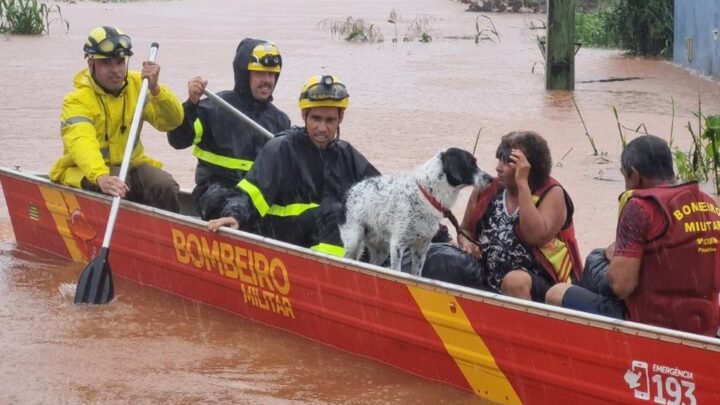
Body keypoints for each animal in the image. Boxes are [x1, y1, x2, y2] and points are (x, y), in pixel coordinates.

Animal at [340, 147, 492, 276]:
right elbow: (398, 271)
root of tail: (349, 191)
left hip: (381, 249)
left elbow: (416, 274)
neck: (427, 194)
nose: (491, 178)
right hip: (354, 240)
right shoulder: (397, 245)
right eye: (471, 164)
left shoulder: (421, 248)